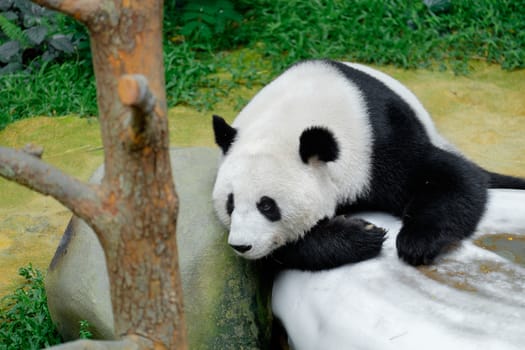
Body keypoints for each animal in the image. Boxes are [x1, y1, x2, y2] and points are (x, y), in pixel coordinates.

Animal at [210, 59, 524, 270]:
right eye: (230, 203)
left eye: (267, 205)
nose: (241, 245)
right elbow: (284, 250)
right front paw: (362, 234)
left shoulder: (378, 139)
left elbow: (449, 176)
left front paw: (415, 242)